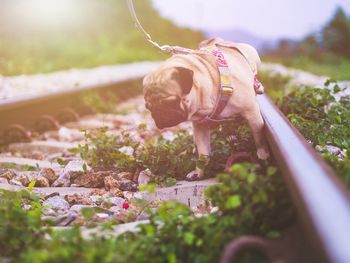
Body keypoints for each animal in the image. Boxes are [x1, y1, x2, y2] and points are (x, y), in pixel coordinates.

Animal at [144, 37, 270, 182]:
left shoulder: (252, 113)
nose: (159, 116)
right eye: (148, 107)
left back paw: (258, 85)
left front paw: (263, 156)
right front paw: (198, 172)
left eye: (170, 102)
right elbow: (203, 155)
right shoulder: (200, 126)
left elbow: (259, 138)